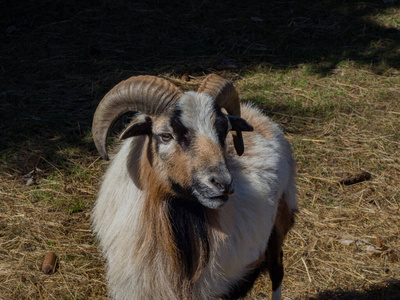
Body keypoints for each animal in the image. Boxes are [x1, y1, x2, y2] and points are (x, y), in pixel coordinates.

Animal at [90, 73, 296, 300]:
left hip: (279, 223)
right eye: (165, 135)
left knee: (277, 269)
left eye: (224, 131)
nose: (223, 183)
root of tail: (259, 115)